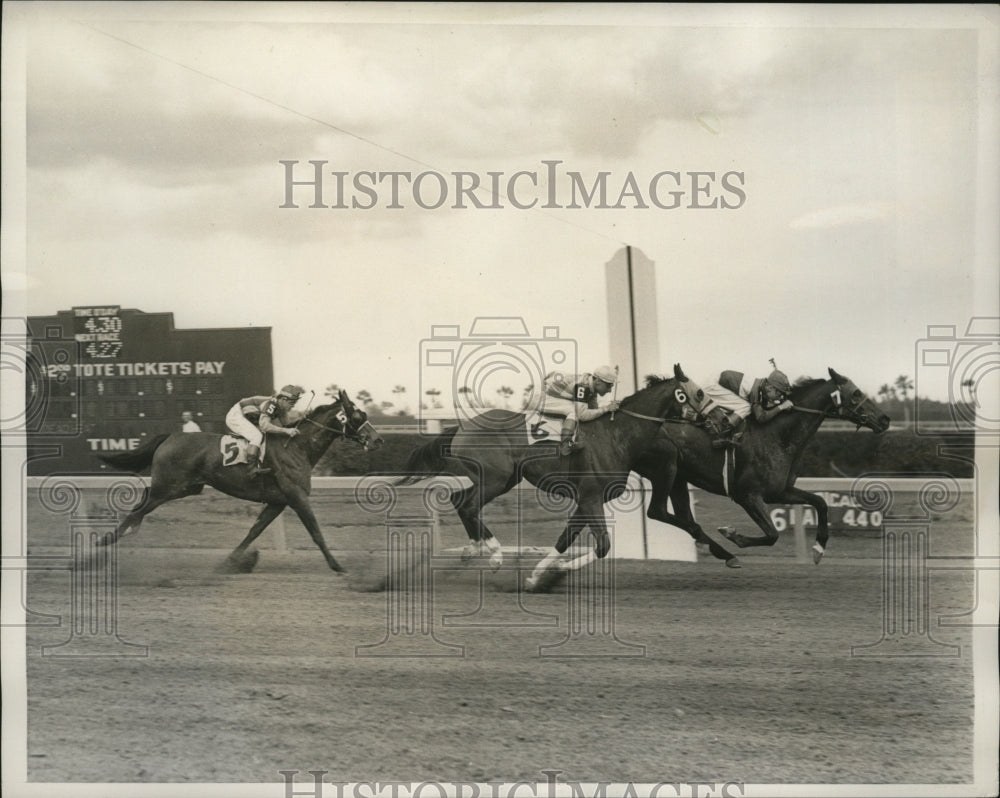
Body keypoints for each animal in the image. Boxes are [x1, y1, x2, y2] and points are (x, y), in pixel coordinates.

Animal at [94, 390, 382, 572]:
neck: (297, 447)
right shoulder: (297, 497)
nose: (378, 440)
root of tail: (170, 436)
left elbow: (254, 531)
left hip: (182, 487)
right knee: (138, 510)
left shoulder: (277, 502)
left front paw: (229, 563)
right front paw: (337, 565)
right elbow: (316, 533)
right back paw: (100, 545)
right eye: (358, 416)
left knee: (140, 504)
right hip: (168, 487)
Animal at [632, 372, 892, 572]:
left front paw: (818, 549)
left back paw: (721, 552)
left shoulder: (780, 491)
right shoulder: (747, 495)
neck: (777, 435)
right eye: (855, 393)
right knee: (660, 511)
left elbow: (820, 502)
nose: (885, 419)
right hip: (665, 470)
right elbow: (772, 535)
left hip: (678, 477)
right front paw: (732, 534)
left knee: (684, 517)